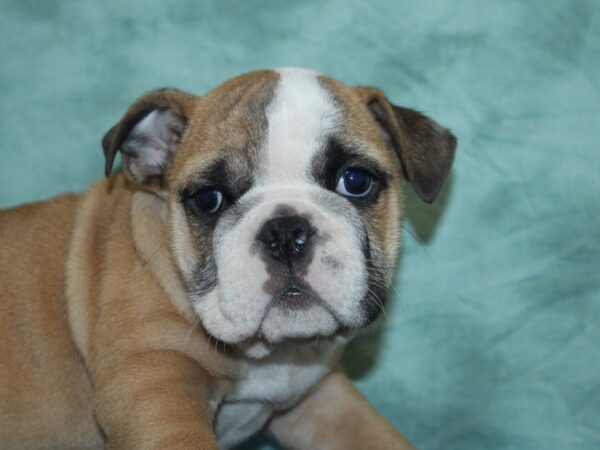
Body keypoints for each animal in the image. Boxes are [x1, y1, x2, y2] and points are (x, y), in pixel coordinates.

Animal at [0, 67, 454, 450]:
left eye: (356, 181)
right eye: (209, 199)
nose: (285, 233)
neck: (274, 354)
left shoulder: (321, 400)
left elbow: (375, 436)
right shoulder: (154, 385)